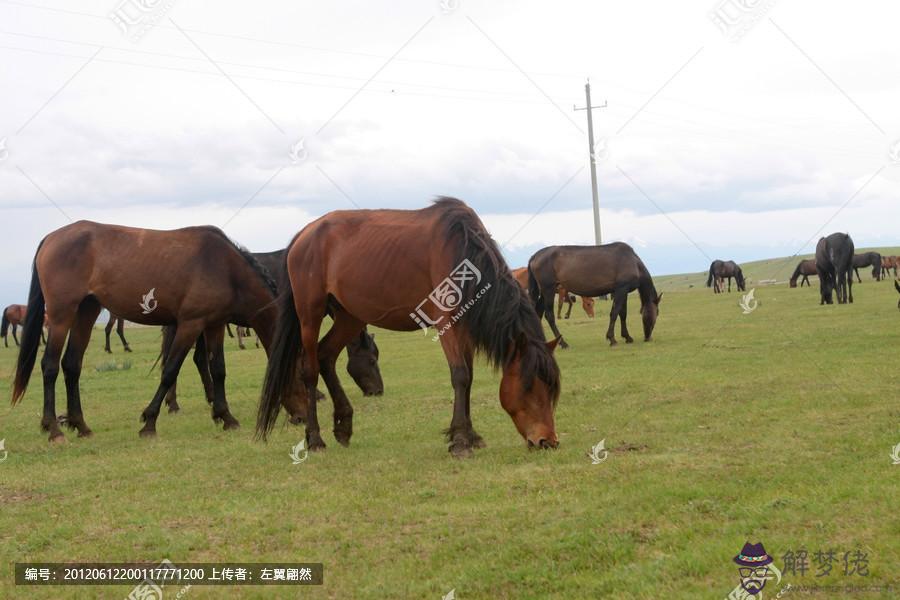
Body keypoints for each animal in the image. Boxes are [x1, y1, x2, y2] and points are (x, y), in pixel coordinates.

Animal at [11, 220, 306, 440]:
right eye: (299, 377)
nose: (303, 417)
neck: (225, 267)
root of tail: (51, 237)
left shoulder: (214, 325)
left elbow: (218, 370)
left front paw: (225, 416)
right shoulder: (190, 324)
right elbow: (170, 370)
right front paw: (149, 421)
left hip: (86, 310)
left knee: (72, 365)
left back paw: (80, 425)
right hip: (61, 315)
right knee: (49, 366)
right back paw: (54, 429)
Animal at [256, 199, 560, 458]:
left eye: (551, 388)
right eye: (529, 387)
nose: (547, 441)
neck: (461, 250)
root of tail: (304, 234)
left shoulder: (464, 326)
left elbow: (470, 377)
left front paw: (470, 436)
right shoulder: (447, 322)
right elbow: (460, 376)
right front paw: (460, 441)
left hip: (349, 317)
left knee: (326, 356)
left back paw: (343, 425)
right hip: (310, 312)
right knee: (310, 369)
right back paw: (315, 439)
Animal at [528, 243, 660, 346]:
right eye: (657, 313)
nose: (648, 337)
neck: (633, 262)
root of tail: (535, 256)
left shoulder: (623, 291)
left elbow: (623, 314)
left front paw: (627, 337)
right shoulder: (621, 289)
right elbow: (614, 313)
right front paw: (612, 338)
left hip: (545, 292)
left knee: (538, 312)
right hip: (548, 290)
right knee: (549, 315)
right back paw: (563, 343)